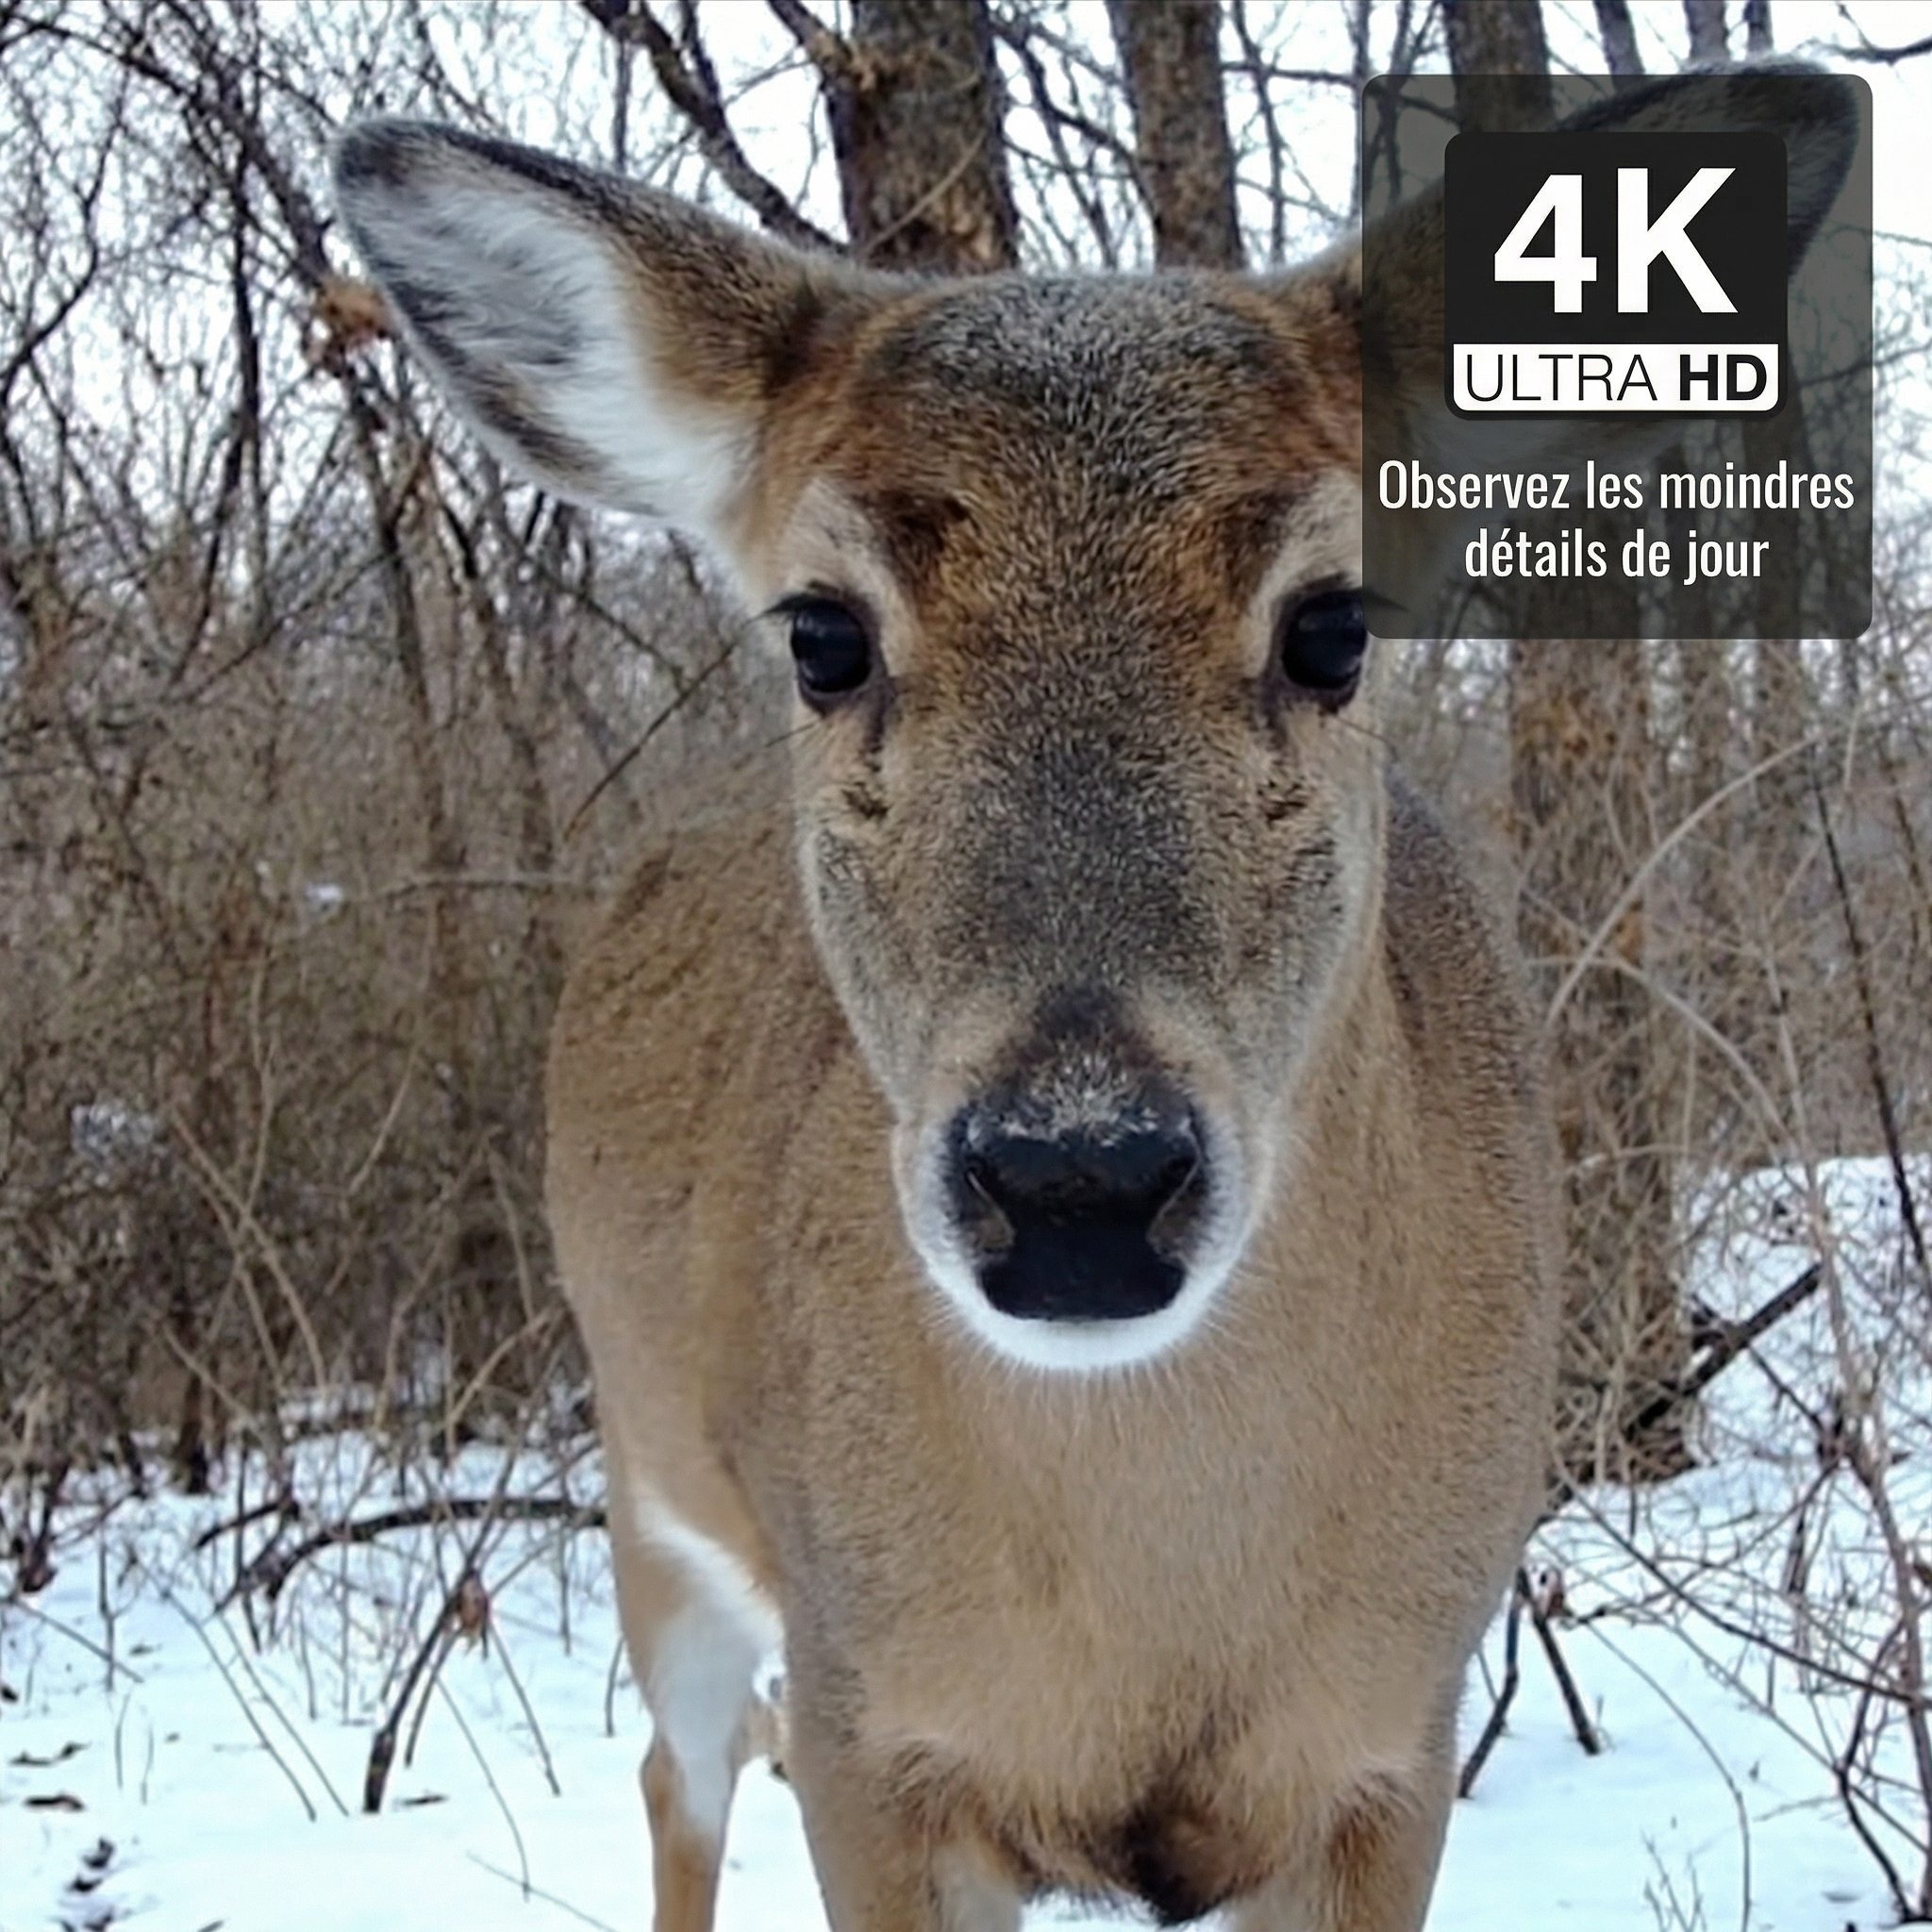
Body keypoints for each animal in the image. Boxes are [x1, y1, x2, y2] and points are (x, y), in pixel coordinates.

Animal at [333, 65, 1856, 1931]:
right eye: (822, 633)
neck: (1152, 1615)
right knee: (682, 1765)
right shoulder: (870, 1719)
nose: (1076, 1178)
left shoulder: (1394, 1743)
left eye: (1333, 623)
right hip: (644, 1472)